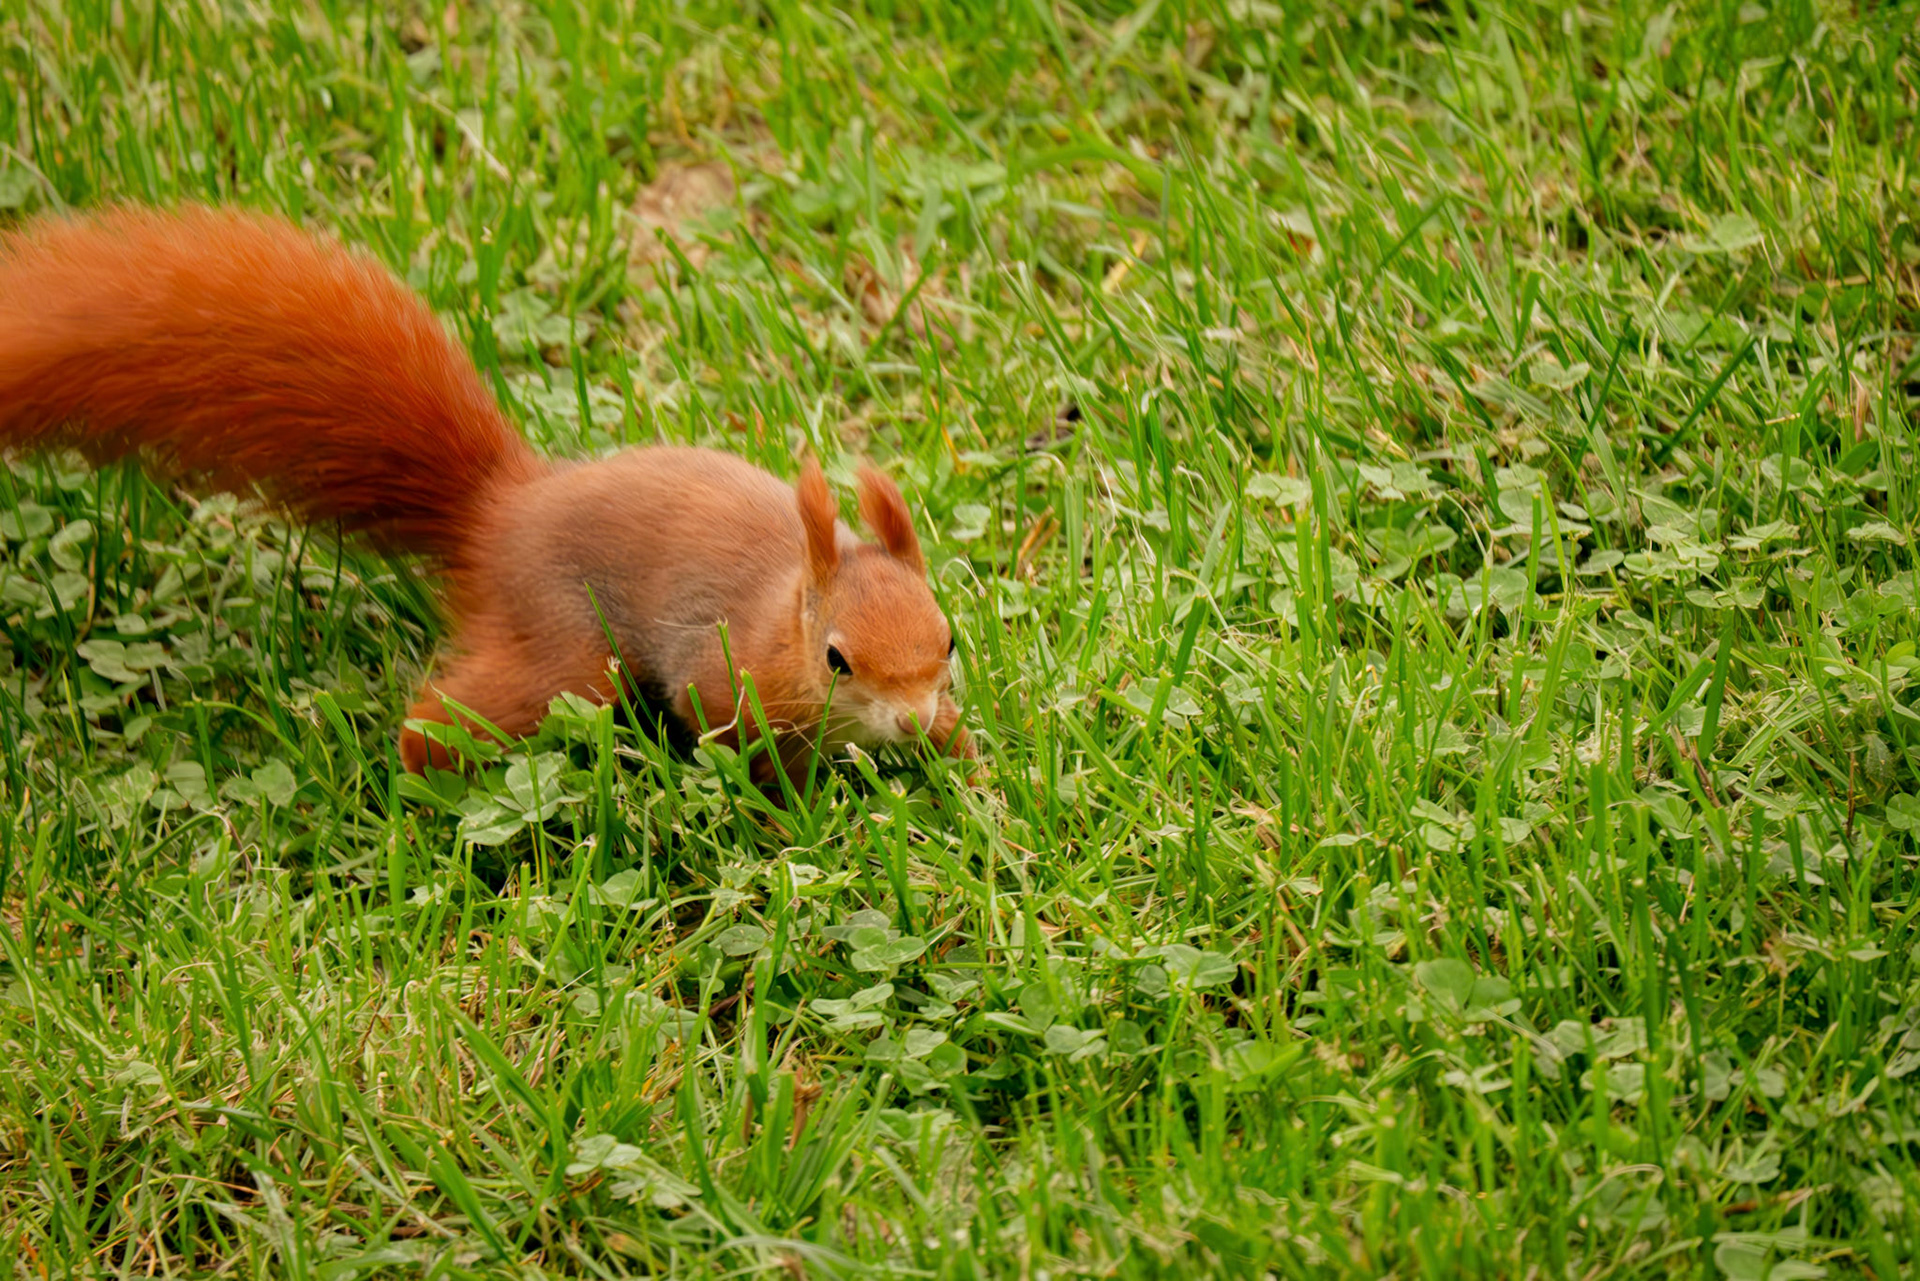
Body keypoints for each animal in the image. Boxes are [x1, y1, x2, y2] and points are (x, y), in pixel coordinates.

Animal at [0, 203, 975, 788]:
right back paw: (425, 776)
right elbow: (732, 743)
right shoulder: (726, 673)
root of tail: (502, 512)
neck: (785, 614)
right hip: (562, 642)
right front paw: (787, 808)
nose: (912, 715)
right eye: (837, 658)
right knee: (453, 719)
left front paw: (964, 762)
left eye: (950, 639)